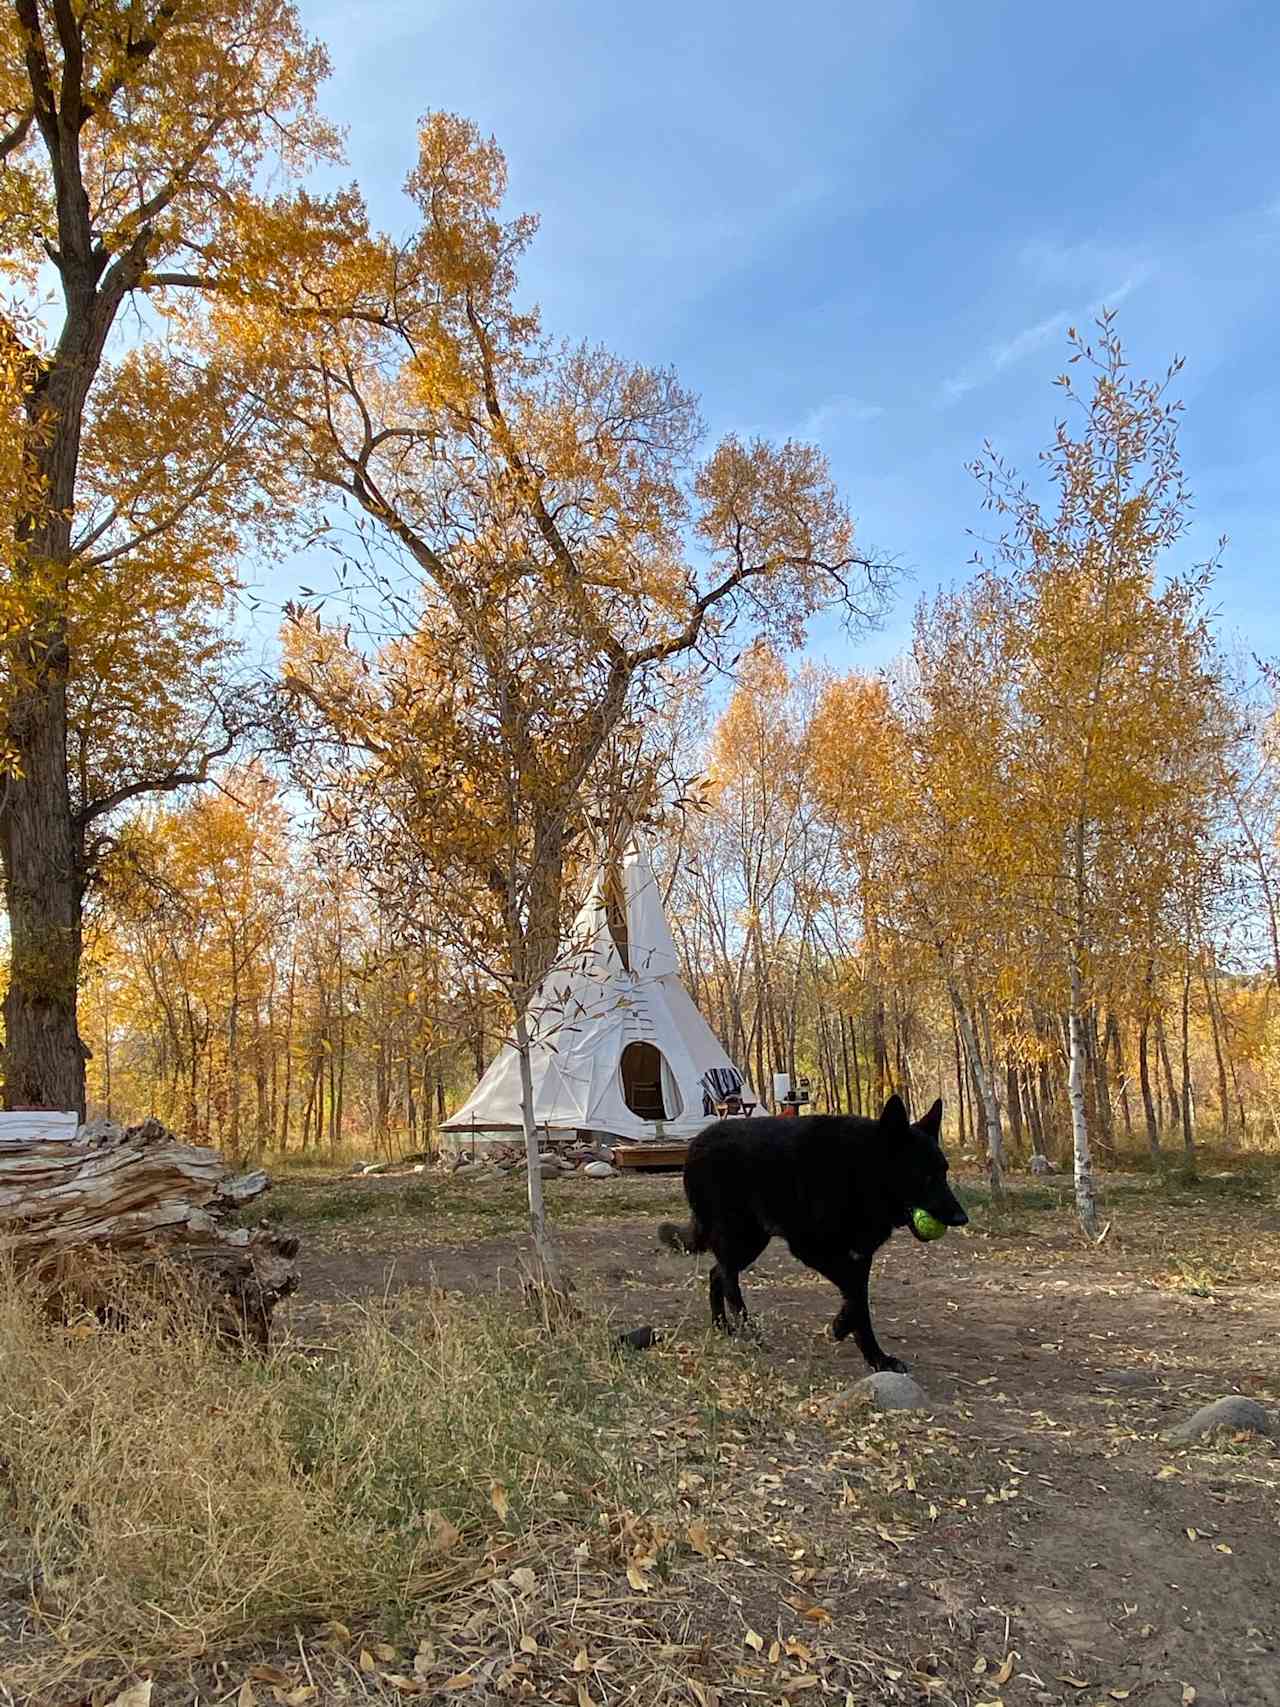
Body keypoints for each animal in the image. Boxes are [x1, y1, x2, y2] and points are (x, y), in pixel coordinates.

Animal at [662, 1092, 962, 1372]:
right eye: (925, 1176)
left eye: (945, 1172)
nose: (963, 1218)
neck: (860, 1171)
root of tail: (696, 1143)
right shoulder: (812, 1249)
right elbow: (856, 1298)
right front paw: (858, 1341)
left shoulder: (860, 1257)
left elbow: (858, 1298)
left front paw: (863, 1346)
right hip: (742, 1238)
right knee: (727, 1278)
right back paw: (747, 1328)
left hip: (751, 1241)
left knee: (717, 1273)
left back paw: (722, 1325)